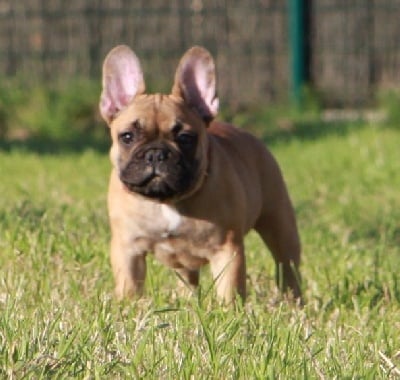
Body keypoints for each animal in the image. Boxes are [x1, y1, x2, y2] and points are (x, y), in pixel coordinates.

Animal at [98, 45, 302, 302]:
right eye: (127, 137)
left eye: (185, 138)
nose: (156, 154)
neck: (167, 201)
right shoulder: (128, 249)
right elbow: (130, 287)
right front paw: (129, 307)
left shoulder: (227, 250)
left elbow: (229, 291)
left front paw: (229, 311)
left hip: (280, 224)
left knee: (287, 267)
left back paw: (294, 302)